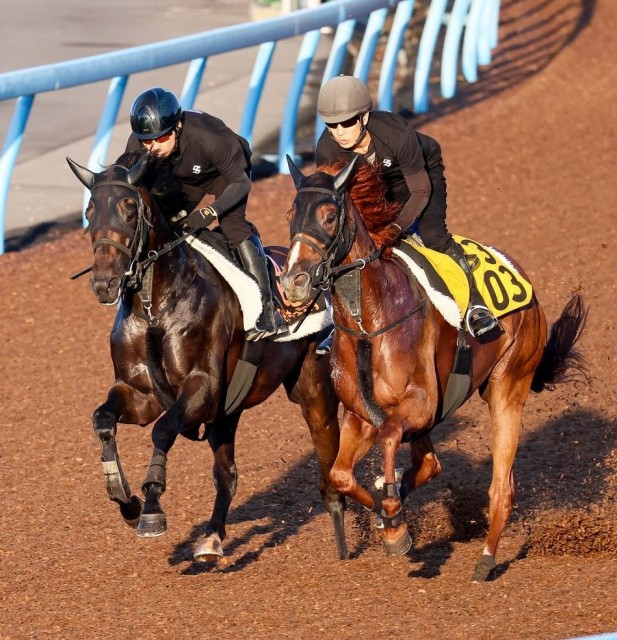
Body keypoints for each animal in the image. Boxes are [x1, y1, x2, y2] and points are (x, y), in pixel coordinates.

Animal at [67, 152, 346, 564]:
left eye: (129, 208)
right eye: (89, 211)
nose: (104, 283)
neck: (155, 307)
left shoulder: (203, 389)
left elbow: (163, 429)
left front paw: (151, 507)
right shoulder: (141, 393)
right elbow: (102, 420)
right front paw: (126, 500)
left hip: (311, 391)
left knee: (331, 450)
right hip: (228, 413)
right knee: (227, 474)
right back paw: (212, 539)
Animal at [280, 155, 588, 580]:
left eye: (328, 216)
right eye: (291, 213)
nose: (293, 282)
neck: (367, 321)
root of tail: (521, 274)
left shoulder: (419, 404)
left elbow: (389, 439)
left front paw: (394, 521)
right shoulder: (361, 416)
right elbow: (341, 474)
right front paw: (388, 514)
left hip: (508, 387)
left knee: (501, 486)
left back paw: (485, 559)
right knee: (430, 464)